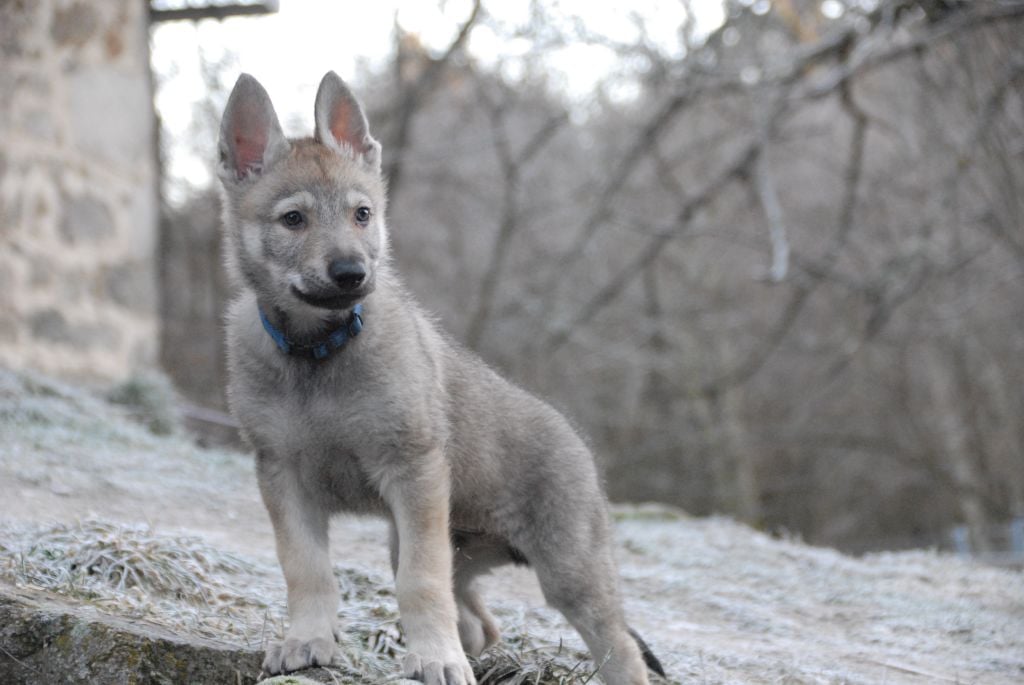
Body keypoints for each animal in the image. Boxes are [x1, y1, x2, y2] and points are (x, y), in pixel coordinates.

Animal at [217, 70, 663, 683]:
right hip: (450, 547)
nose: (352, 273)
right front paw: (309, 641)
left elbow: (419, 583)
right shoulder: (283, 476)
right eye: (293, 219)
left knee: (618, 647)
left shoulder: (412, 472)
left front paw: (433, 659)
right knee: (480, 623)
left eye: (362, 214)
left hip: (567, 570)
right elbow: (306, 569)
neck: (317, 351)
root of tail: (576, 439)